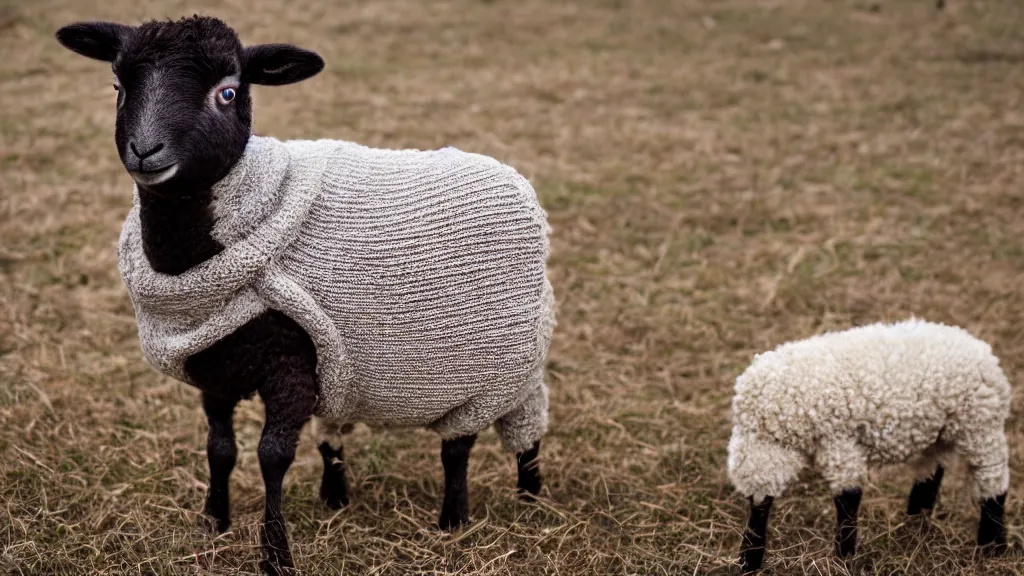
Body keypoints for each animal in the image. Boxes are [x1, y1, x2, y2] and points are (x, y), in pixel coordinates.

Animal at [56, 15, 552, 569]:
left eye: (228, 92)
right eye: (118, 86)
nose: (145, 151)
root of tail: (513, 176)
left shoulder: (290, 366)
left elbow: (271, 457)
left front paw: (275, 555)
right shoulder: (216, 366)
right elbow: (219, 449)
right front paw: (214, 522)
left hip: (494, 368)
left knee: (470, 441)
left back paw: (480, 511)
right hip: (357, 382)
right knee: (345, 434)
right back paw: (339, 498)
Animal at [729, 317, 1007, 569]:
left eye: (762, 506)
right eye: (751, 503)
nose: (747, 563)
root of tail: (982, 350)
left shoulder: (839, 442)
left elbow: (848, 497)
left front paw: (844, 556)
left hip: (980, 426)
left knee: (993, 481)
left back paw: (992, 546)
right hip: (938, 430)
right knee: (932, 469)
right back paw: (916, 518)